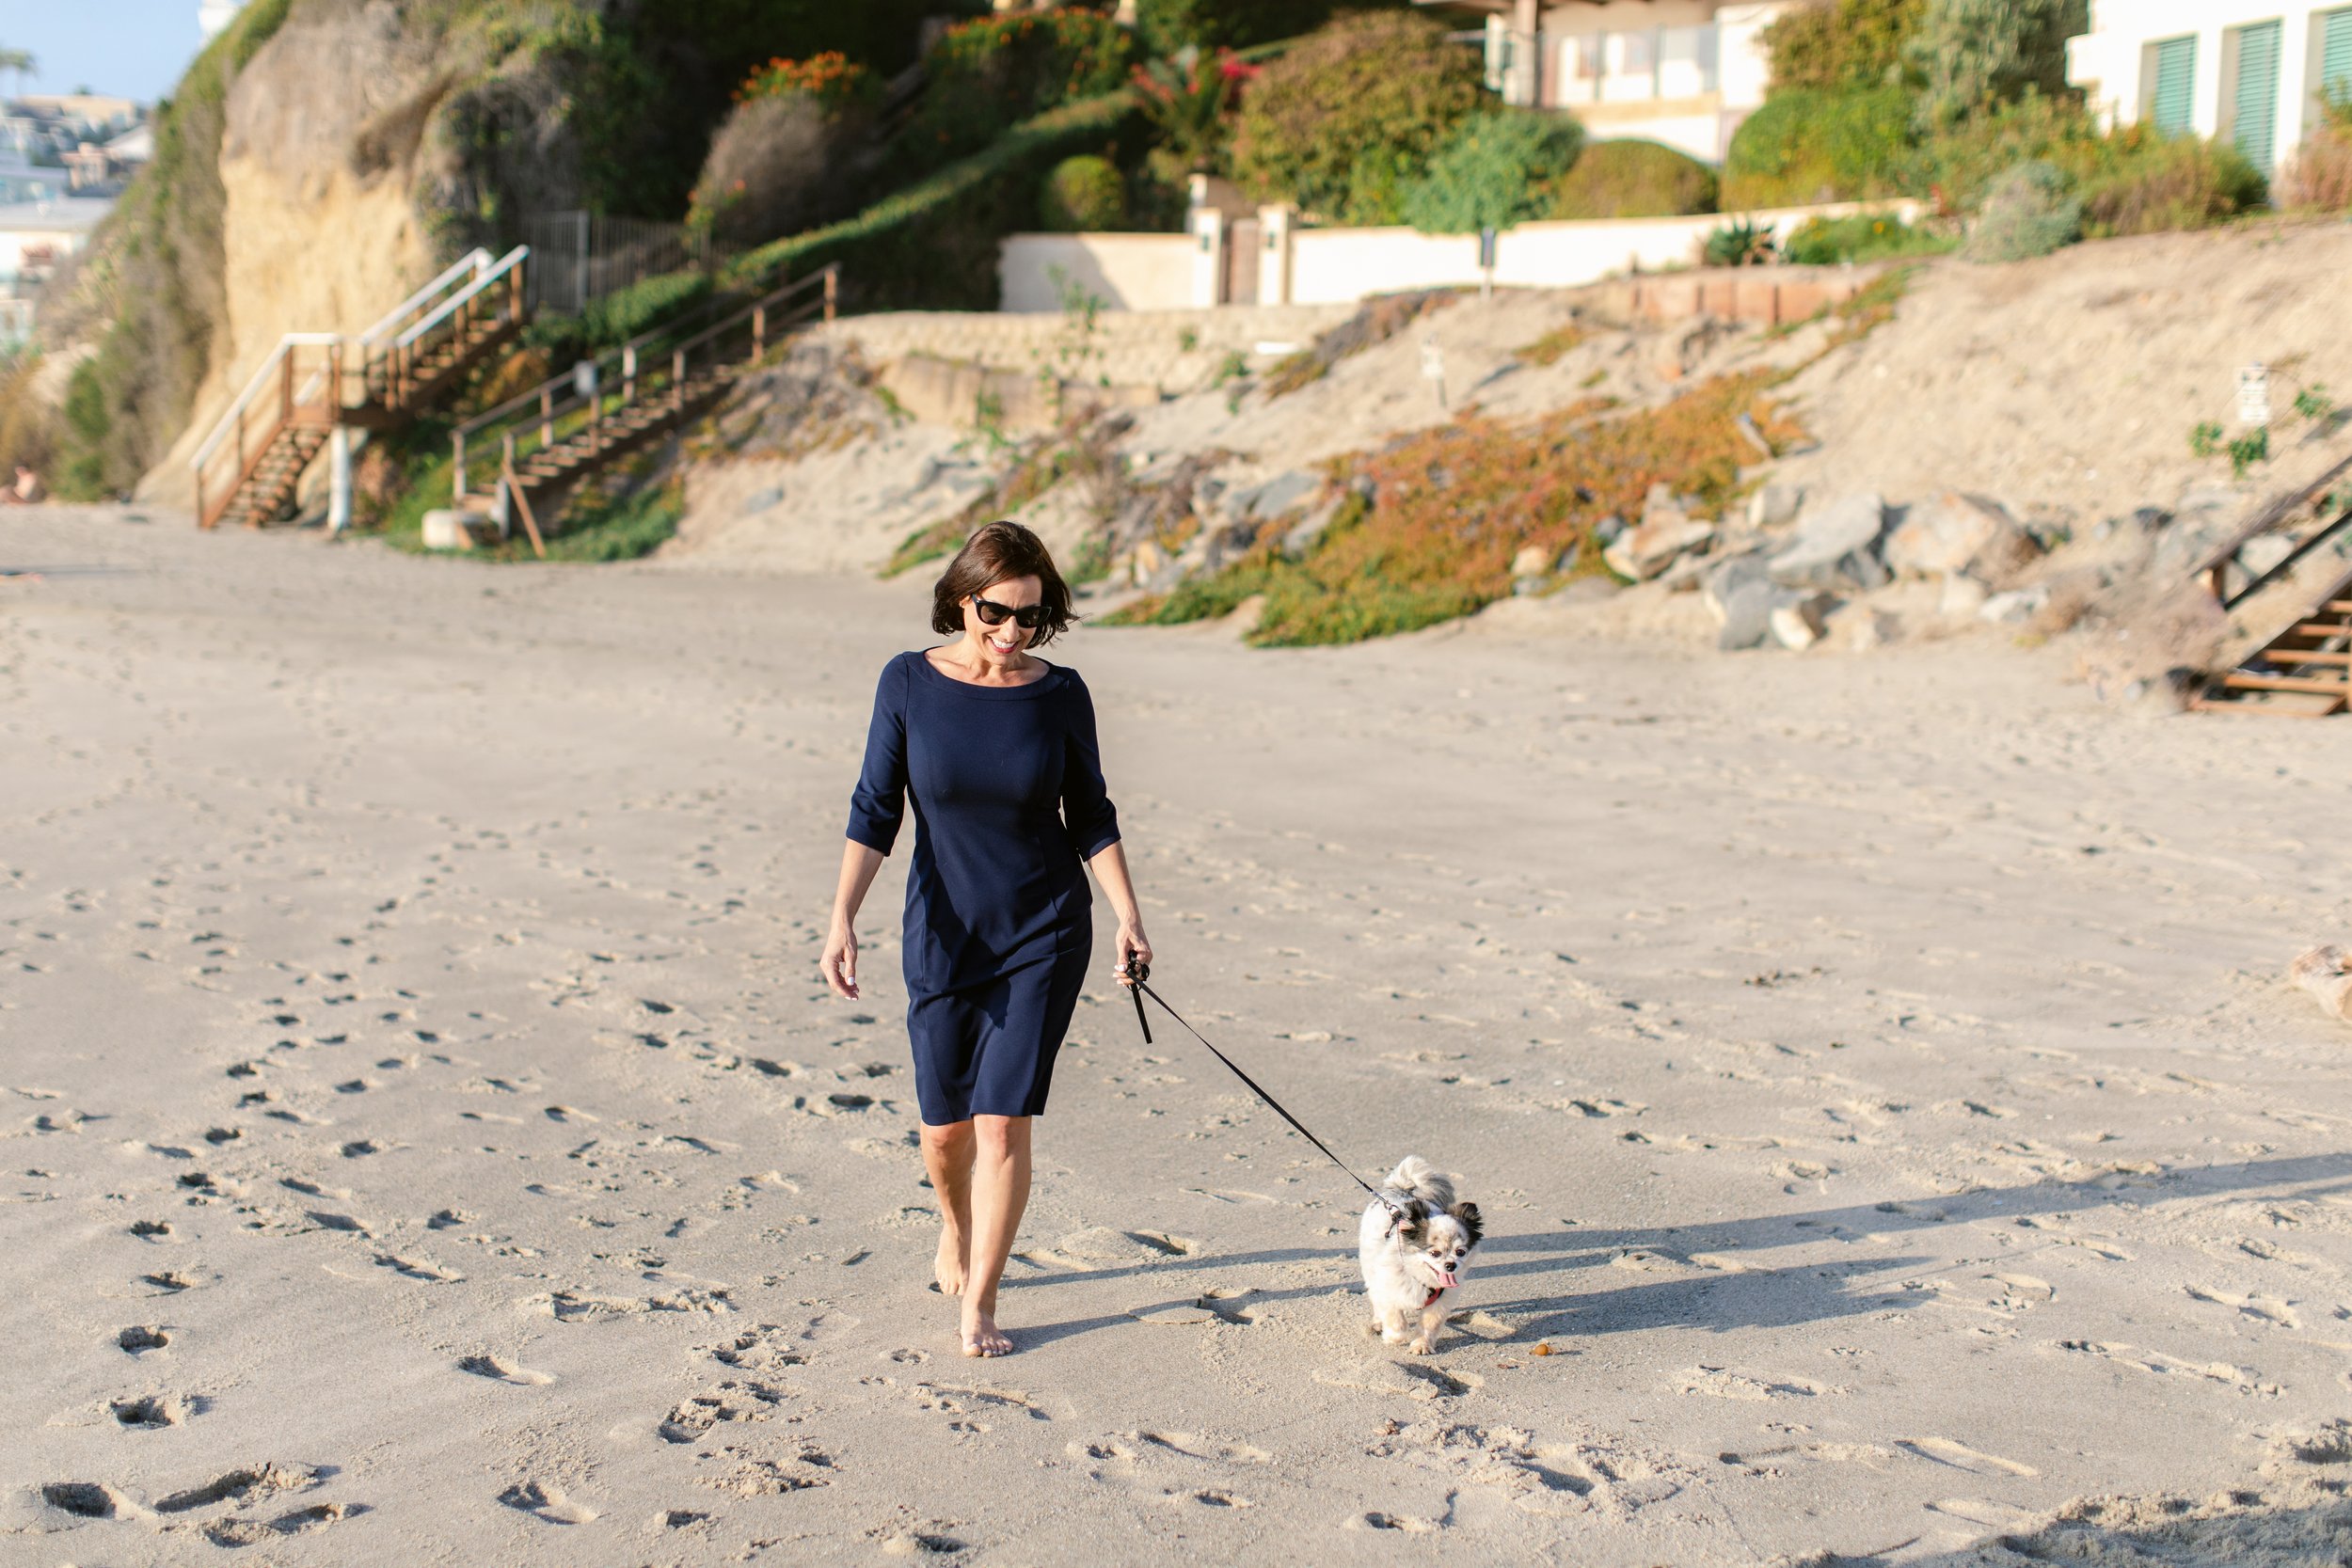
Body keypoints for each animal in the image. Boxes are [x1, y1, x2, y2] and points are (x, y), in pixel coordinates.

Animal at [1358, 1155, 1483, 1354]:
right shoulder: (1386, 1290)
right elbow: (1395, 1320)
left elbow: (1429, 1325)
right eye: (1434, 1253)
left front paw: (1421, 1345)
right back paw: (1377, 1324)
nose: (1451, 1265)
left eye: (1460, 1251)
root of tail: (1400, 1190)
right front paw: (1393, 1338)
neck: (1421, 1279)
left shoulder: (1441, 1302)